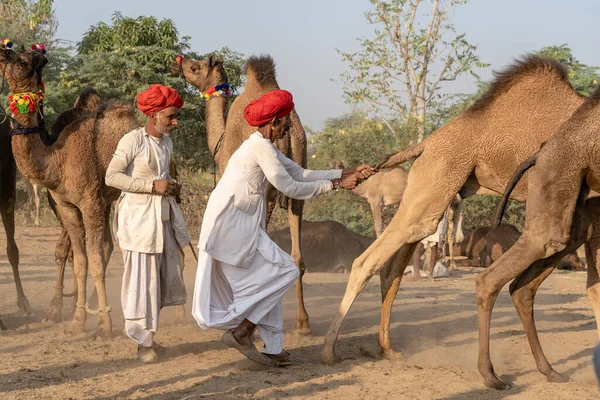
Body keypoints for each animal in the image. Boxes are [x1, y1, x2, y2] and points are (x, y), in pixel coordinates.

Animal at [0, 43, 139, 338]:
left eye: (22, 60)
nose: (2, 50)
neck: (57, 158)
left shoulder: (89, 202)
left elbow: (94, 259)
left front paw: (103, 325)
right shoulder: (66, 205)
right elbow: (80, 260)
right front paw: (76, 320)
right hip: (106, 199)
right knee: (102, 246)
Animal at [172, 54, 314, 334]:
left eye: (195, 67)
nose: (177, 62)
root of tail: (290, 134)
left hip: (267, 188)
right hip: (298, 175)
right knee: (297, 256)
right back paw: (303, 323)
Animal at [322, 54, 588, 368]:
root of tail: (427, 142)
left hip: (431, 191)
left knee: (393, 267)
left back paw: (387, 348)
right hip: (439, 173)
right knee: (366, 262)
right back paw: (329, 351)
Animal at [474, 85, 600, 388]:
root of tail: (538, 154)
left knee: (522, 287)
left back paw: (550, 371)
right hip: (558, 180)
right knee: (494, 278)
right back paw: (492, 377)